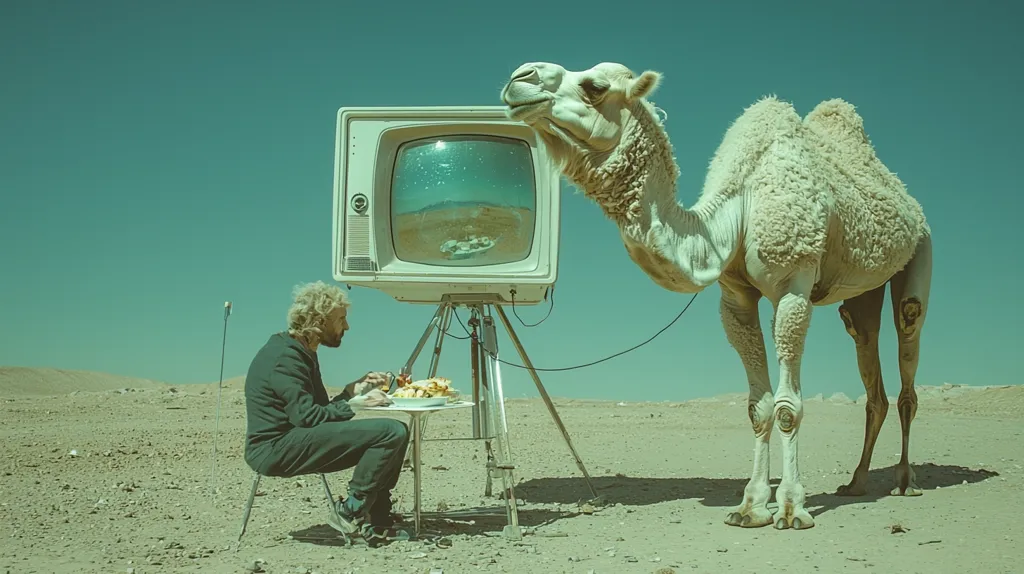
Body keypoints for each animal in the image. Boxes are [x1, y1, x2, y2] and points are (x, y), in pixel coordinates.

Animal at [499, 62, 932, 530]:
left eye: (595, 87)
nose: (519, 77)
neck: (738, 209)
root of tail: (910, 202)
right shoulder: (735, 298)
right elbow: (758, 408)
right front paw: (751, 506)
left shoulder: (793, 285)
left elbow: (787, 407)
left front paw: (792, 507)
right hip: (863, 291)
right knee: (868, 360)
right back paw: (856, 482)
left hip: (920, 251)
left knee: (908, 340)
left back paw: (907, 481)